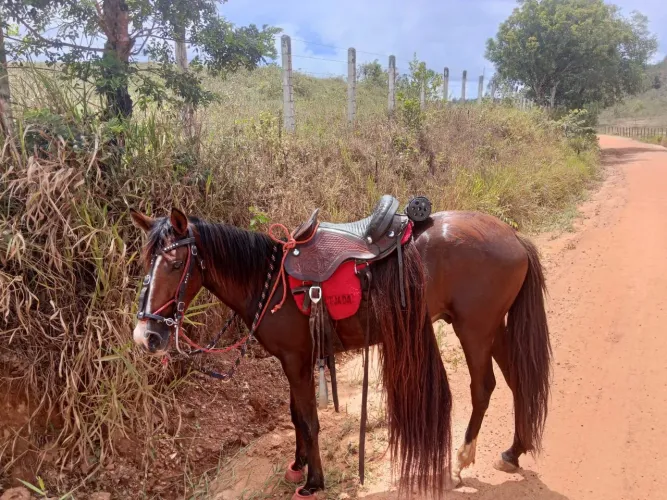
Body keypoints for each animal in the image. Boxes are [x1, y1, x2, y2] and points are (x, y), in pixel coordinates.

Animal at [128, 203, 551, 497]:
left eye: (175, 263)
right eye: (147, 262)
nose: (146, 336)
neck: (270, 283)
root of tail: (514, 238)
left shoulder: (297, 360)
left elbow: (309, 420)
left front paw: (313, 482)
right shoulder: (293, 362)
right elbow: (296, 416)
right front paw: (297, 465)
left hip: (474, 330)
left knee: (484, 387)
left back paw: (461, 461)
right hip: (493, 328)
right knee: (517, 381)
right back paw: (513, 451)